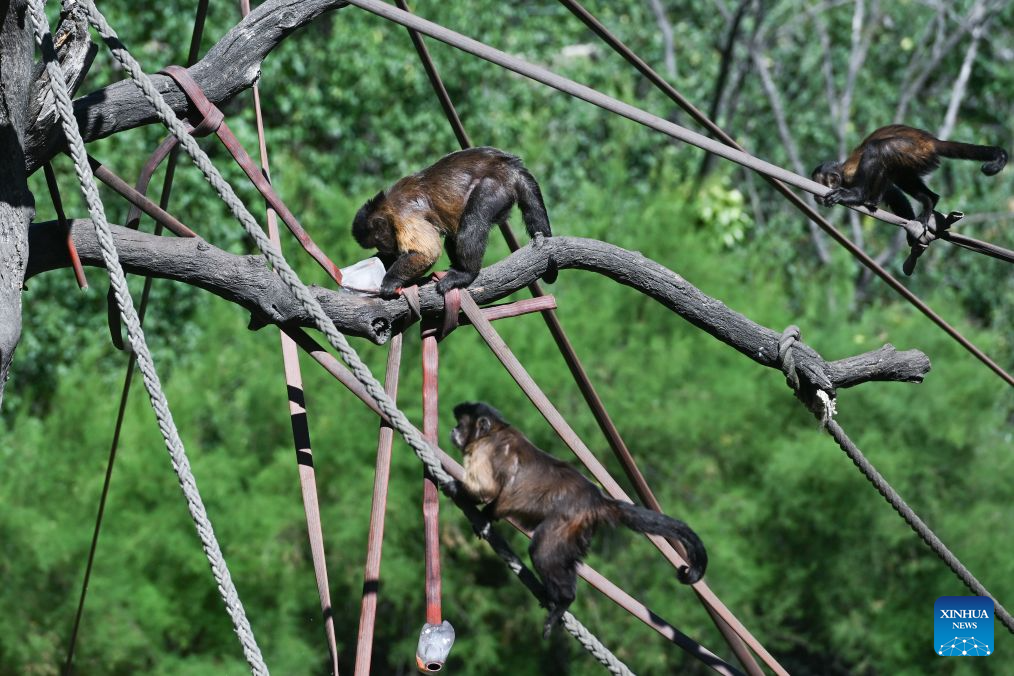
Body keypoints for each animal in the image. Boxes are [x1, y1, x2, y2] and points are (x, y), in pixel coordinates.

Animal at [352, 147, 554, 298]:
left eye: (378, 241)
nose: (384, 248)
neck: (388, 207)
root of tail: (510, 165)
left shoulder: (404, 216)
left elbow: (427, 252)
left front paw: (390, 281)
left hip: (496, 186)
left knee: (472, 220)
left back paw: (465, 273)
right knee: (454, 236)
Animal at [449, 401, 708, 638]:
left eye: (460, 424)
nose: (453, 430)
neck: (494, 432)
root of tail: (595, 498)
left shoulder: (484, 450)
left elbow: (488, 489)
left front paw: (462, 493)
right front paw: (485, 517)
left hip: (567, 520)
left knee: (542, 551)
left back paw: (564, 599)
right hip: (579, 530)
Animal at [812, 124, 1007, 226]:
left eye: (826, 181)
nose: (817, 197)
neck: (843, 174)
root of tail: (931, 142)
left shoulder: (849, 175)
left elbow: (878, 168)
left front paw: (859, 197)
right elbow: (892, 190)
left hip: (913, 150)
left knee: (878, 149)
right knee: (901, 177)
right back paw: (930, 200)